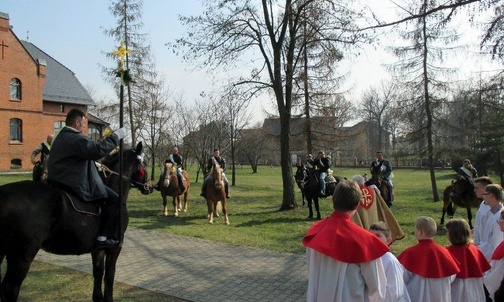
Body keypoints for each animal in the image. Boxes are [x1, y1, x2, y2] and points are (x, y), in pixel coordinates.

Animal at [0, 142, 152, 302]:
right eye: (144, 163)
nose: (149, 186)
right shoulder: (115, 247)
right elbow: (109, 277)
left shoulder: (97, 250)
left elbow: (98, 274)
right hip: (22, 253)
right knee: (10, 288)